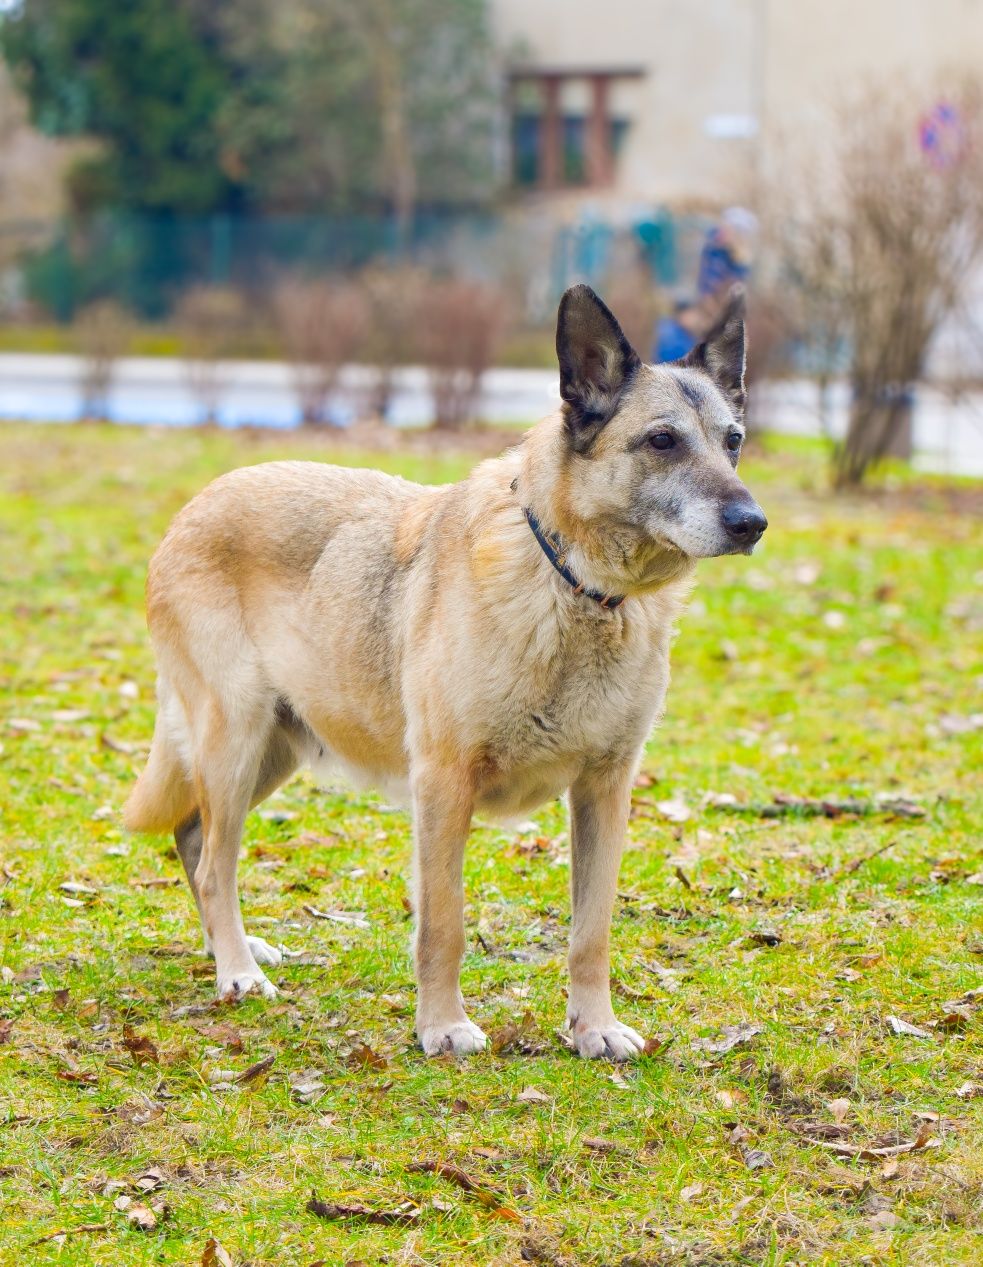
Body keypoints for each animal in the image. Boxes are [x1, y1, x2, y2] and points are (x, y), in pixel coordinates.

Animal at [124, 285, 770, 1059]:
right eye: (663, 441)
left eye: (732, 441)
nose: (752, 522)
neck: (575, 587)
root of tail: (196, 503)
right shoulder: (442, 783)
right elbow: (444, 923)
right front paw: (440, 1025)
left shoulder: (604, 791)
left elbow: (591, 932)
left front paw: (594, 1027)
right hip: (236, 738)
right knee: (215, 858)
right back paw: (238, 970)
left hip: (274, 751)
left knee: (193, 839)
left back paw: (235, 951)